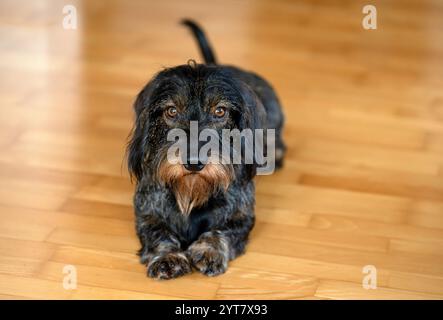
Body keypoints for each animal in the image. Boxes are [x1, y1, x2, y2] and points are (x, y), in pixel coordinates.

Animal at [127, 20, 288, 280]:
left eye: (220, 111)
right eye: (171, 111)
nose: (194, 162)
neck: (192, 191)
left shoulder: (241, 217)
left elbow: (220, 232)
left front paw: (210, 251)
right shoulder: (147, 213)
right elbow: (158, 234)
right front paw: (167, 256)